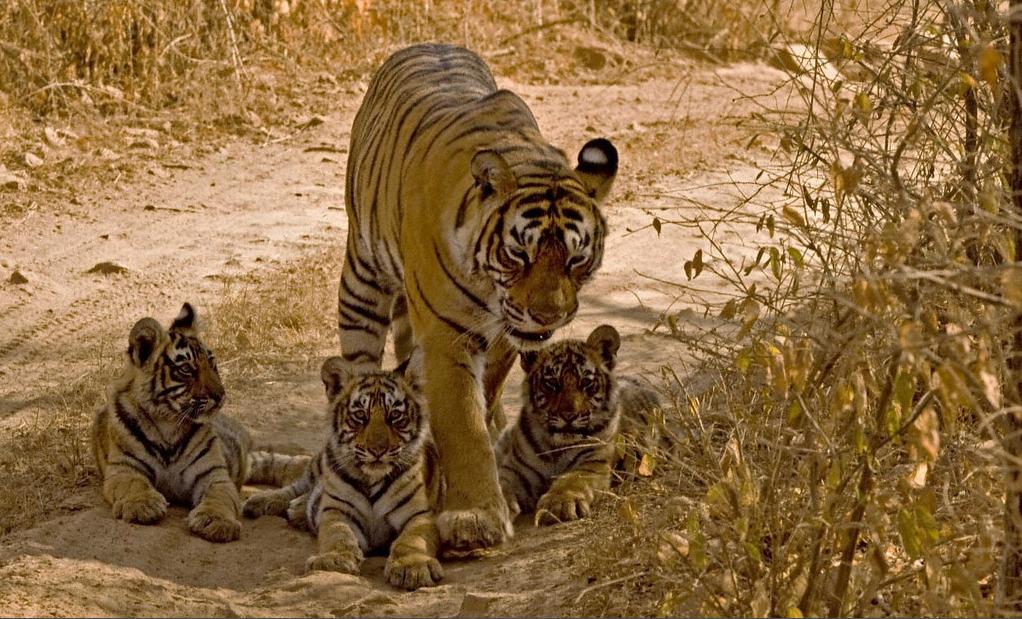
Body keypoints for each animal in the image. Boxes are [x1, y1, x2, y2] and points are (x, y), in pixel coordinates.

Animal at [91, 303, 309, 542]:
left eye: (212, 363)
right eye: (187, 369)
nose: (220, 394)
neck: (168, 423)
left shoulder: (214, 474)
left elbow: (219, 498)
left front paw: (216, 522)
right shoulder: (124, 469)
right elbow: (133, 485)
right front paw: (143, 505)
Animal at [242, 355, 444, 590]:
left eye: (395, 415)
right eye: (360, 415)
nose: (377, 449)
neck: (372, 478)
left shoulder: (420, 514)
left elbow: (412, 539)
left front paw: (413, 568)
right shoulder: (338, 511)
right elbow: (337, 534)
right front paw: (333, 560)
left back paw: (298, 509)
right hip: (320, 465)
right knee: (297, 482)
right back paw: (264, 501)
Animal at [336, 42, 618, 551]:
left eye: (575, 259)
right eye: (519, 254)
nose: (548, 315)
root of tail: (427, 43)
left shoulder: (505, 333)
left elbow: (482, 399)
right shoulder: (448, 334)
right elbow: (462, 423)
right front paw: (475, 517)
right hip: (362, 280)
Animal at [495, 324, 666, 525]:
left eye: (585, 382)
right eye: (552, 383)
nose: (569, 416)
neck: (556, 447)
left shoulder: (592, 463)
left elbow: (571, 480)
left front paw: (559, 504)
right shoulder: (516, 470)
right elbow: (498, 486)